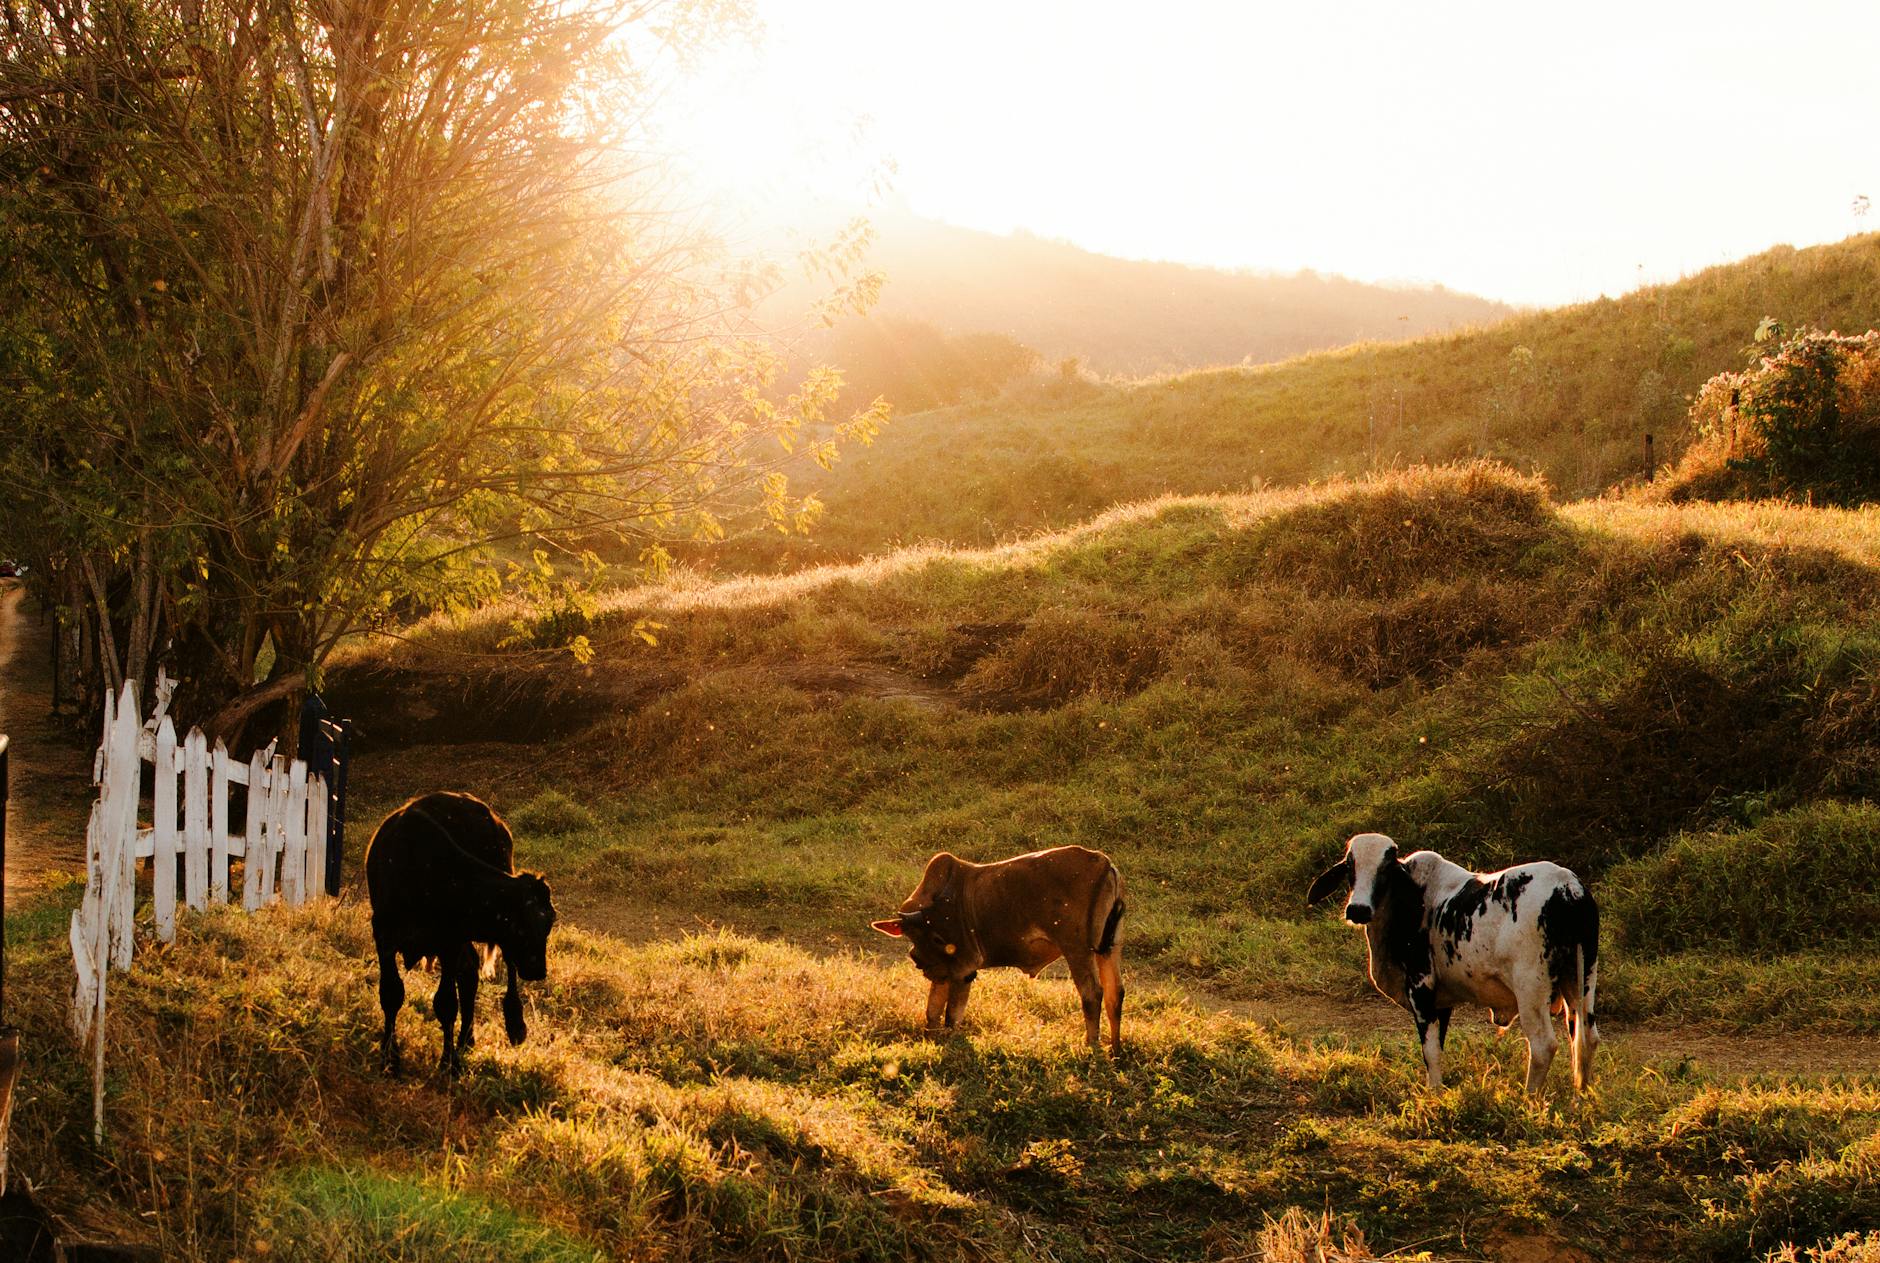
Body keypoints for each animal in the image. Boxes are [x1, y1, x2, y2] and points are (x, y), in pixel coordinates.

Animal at [364, 792, 557, 1076]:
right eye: (519, 925)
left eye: (549, 923)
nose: (538, 970)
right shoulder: (384, 937)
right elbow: (391, 994)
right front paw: (390, 1058)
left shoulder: (449, 942)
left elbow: (445, 1003)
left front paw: (449, 1063)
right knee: (469, 971)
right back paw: (466, 1039)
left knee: (498, 969)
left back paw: (513, 1024)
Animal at [871, 846, 1125, 1052]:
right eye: (913, 935)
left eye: (936, 937)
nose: (917, 959)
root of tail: (1103, 862)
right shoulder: (943, 973)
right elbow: (932, 1011)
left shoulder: (963, 969)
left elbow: (952, 1015)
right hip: (1108, 949)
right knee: (1115, 994)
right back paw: (1115, 1049)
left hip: (1077, 950)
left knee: (1092, 994)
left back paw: (1091, 1045)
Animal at [1306, 832, 1599, 1095]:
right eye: (1349, 866)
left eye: (1386, 868)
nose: (1358, 909)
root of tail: (1568, 887)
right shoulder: (1442, 1002)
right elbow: (1438, 1045)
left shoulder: (1421, 987)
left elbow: (1431, 1051)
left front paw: (1434, 1094)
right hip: (1581, 979)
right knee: (1586, 1038)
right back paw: (1580, 1099)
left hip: (1531, 989)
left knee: (1543, 1045)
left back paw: (1529, 1099)